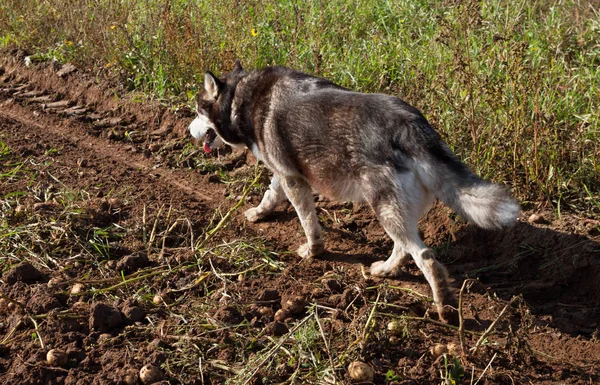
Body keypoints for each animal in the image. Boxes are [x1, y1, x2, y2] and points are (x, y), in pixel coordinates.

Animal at [189, 60, 520, 320]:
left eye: (196, 111)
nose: (188, 130)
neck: (241, 98)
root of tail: (410, 125)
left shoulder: (293, 179)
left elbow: (308, 222)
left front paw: (313, 251)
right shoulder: (285, 175)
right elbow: (271, 194)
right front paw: (259, 213)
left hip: (384, 208)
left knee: (425, 256)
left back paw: (445, 308)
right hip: (397, 211)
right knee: (404, 247)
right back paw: (386, 270)